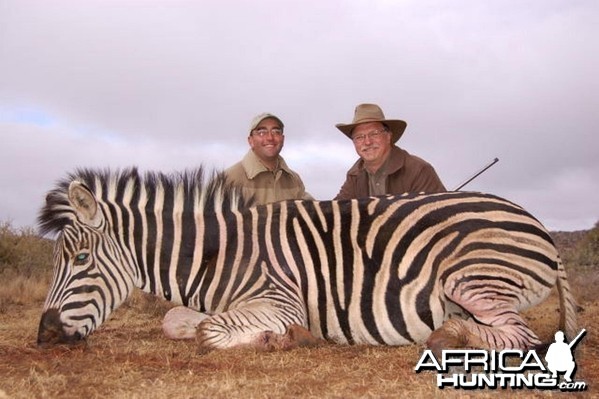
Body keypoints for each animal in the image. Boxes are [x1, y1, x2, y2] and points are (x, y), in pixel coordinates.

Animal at [36, 167, 576, 354]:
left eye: (79, 258)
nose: (43, 336)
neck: (221, 254)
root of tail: (535, 221)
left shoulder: (281, 301)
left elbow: (211, 332)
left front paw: (282, 339)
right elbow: (178, 321)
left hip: (471, 280)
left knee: (521, 336)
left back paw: (450, 335)